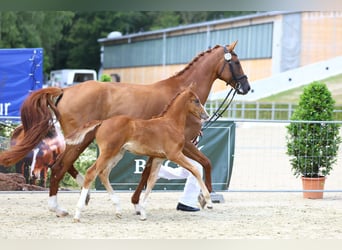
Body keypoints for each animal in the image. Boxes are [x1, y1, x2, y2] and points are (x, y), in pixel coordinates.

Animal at [0, 40, 251, 216]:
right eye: (236, 62)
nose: (246, 87)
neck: (180, 98)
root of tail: (65, 90)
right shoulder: (184, 144)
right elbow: (205, 163)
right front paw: (205, 198)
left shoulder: (159, 149)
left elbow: (149, 173)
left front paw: (138, 204)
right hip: (81, 140)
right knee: (60, 166)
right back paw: (59, 207)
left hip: (79, 139)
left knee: (63, 164)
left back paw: (81, 194)